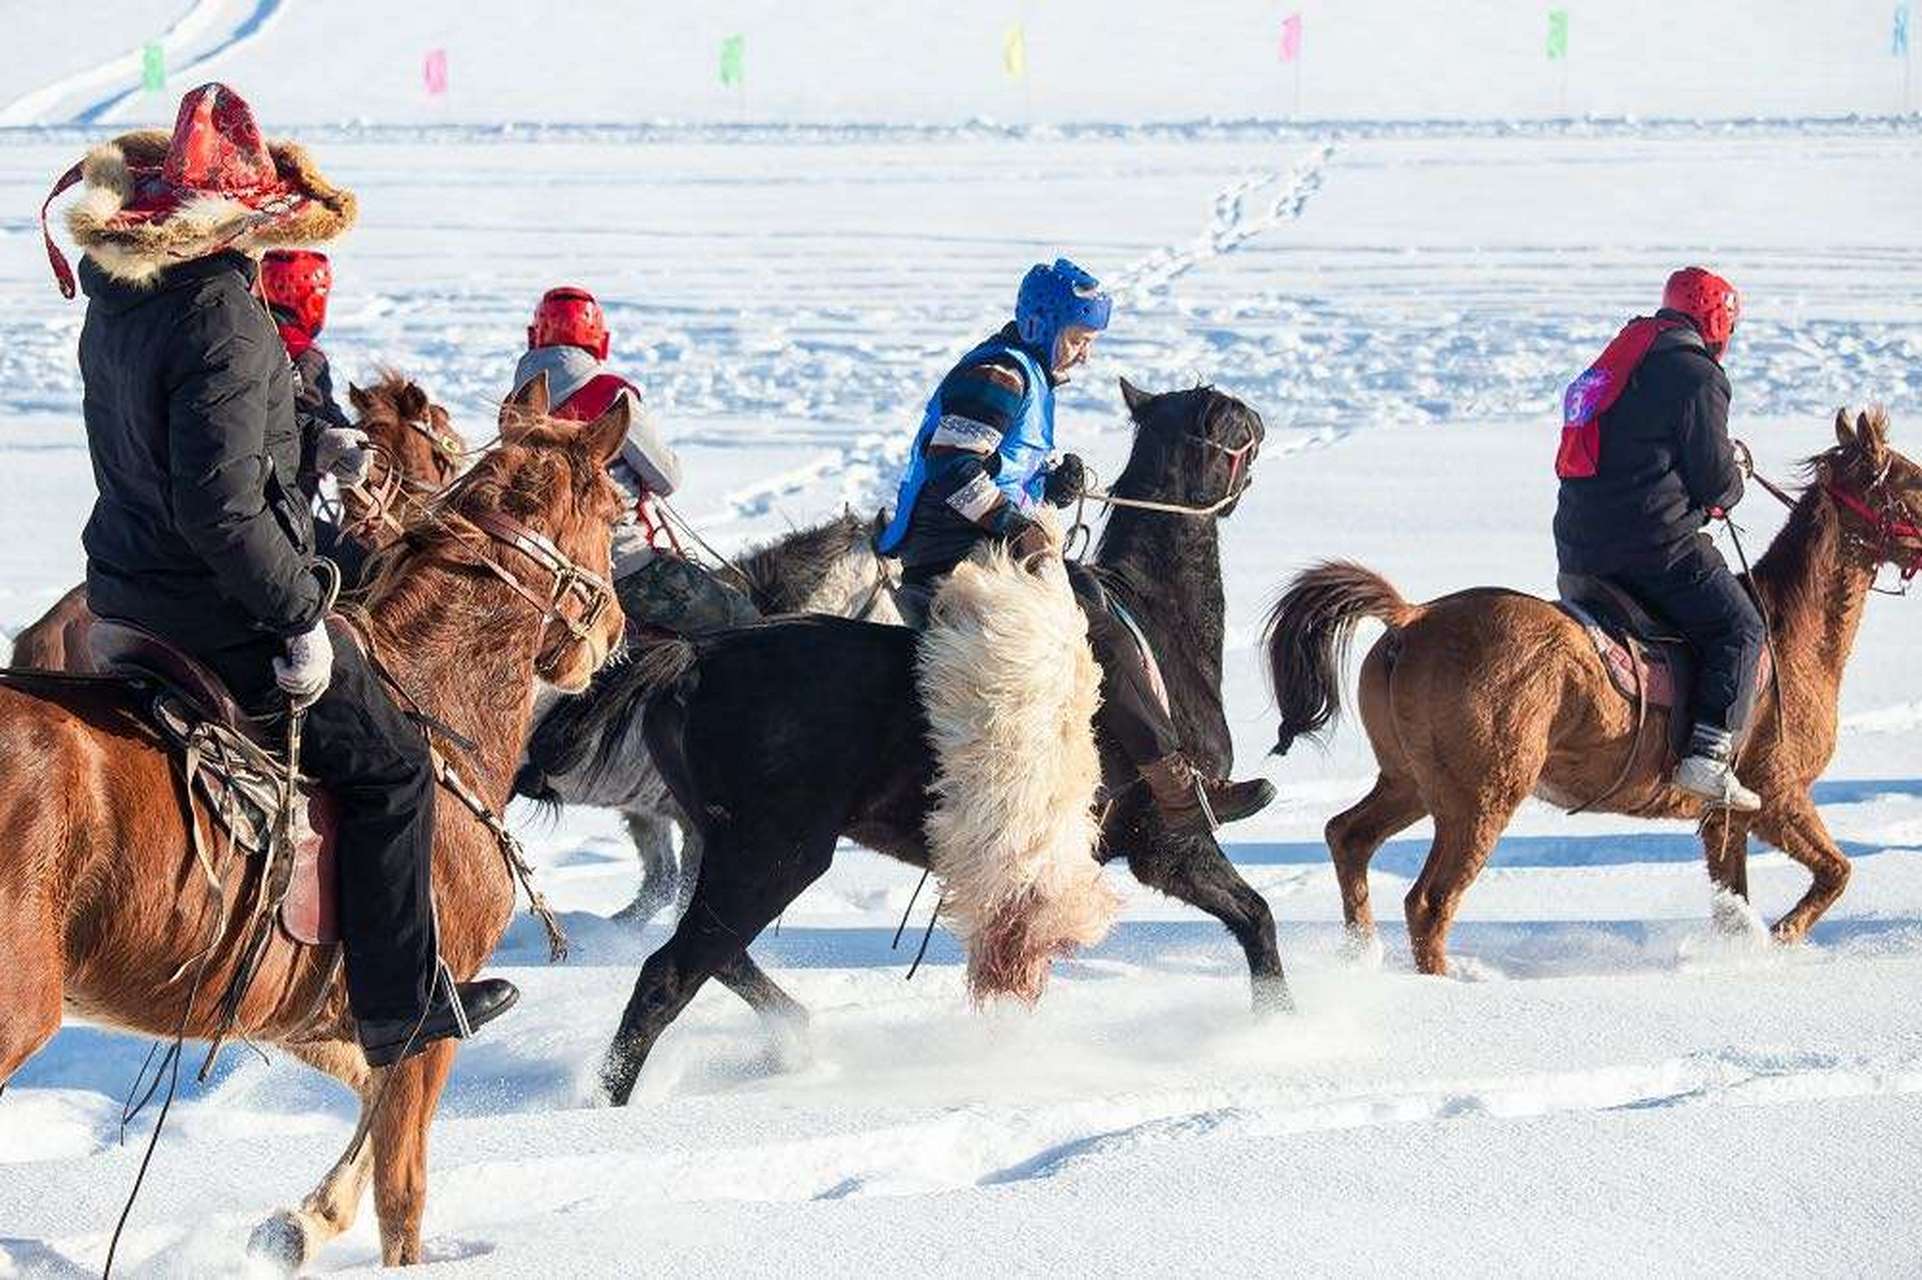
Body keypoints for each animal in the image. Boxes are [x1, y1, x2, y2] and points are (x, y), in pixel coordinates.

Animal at [0, 370, 622, 1268]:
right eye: (615, 510)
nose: (614, 630)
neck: (435, 696)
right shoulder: (426, 1009)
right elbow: (403, 1191)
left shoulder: (305, 1007)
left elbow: (367, 1093)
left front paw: (303, 1221)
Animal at [595, 374, 1291, 1099]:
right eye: (1237, 425)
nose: (1261, 424)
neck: (1156, 620)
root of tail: (695, 659)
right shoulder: (1171, 843)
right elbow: (1256, 916)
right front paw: (1282, 1028)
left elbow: (1252, 918)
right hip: (772, 855)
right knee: (670, 975)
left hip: (726, 848)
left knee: (722, 960)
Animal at [1260, 413, 1922, 972]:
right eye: (1914, 480)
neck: (1793, 632)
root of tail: (1412, 617)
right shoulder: (1779, 797)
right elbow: (1836, 872)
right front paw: (1782, 937)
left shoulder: (1725, 823)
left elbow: (1735, 902)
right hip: (1480, 799)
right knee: (1429, 902)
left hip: (1411, 783)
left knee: (1349, 838)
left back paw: (1362, 958)